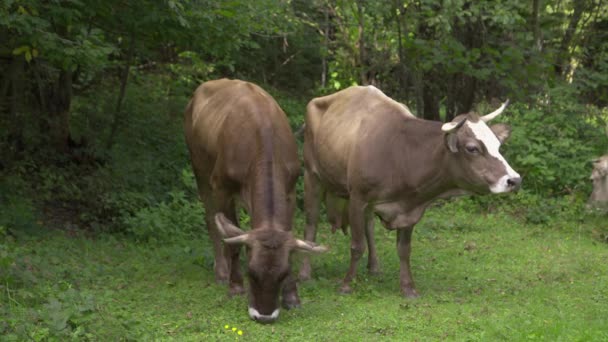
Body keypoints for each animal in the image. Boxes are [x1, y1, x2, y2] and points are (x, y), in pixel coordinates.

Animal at [184, 79, 326, 322]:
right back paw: (221, 272)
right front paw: (235, 287)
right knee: (211, 220)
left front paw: (292, 297)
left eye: (284, 273)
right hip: (199, 167)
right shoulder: (221, 186)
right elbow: (231, 242)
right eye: (251, 272)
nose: (264, 316)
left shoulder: (289, 190)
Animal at [302, 85, 520, 296]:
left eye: (498, 145)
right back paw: (305, 273)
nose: (514, 180)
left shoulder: (409, 208)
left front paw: (408, 288)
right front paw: (346, 285)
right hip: (312, 175)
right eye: (472, 148)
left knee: (369, 226)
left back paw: (374, 266)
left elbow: (404, 250)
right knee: (311, 223)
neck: (401, 155)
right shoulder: (358, 197)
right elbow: (356, 245)